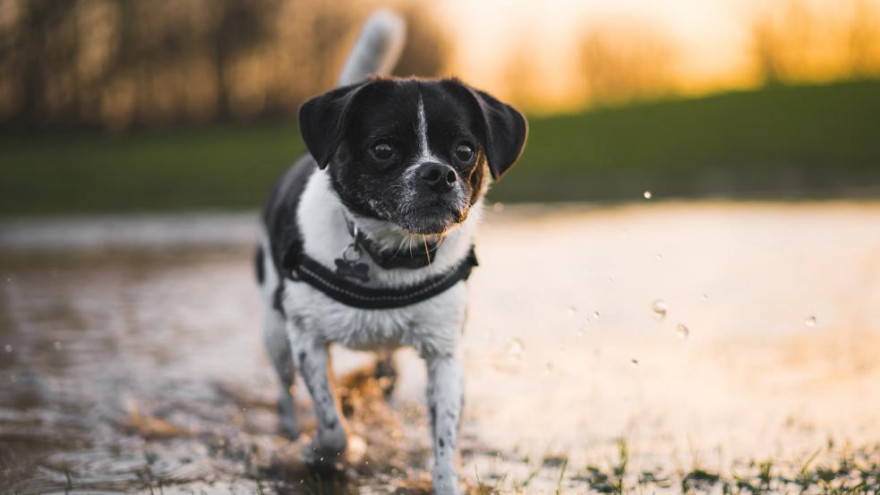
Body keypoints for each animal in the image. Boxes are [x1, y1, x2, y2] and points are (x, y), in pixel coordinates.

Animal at [256, 9, 528, 494]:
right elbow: (332, 425)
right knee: (285, 392)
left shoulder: (444, 354)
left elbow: (444, 444)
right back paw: (290, 432)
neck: (391, 253)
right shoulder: (307, 338)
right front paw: (320, 451)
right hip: (275, 333)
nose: (438, 173)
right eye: (382, 148)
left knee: (385, 373)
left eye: (465, 150)